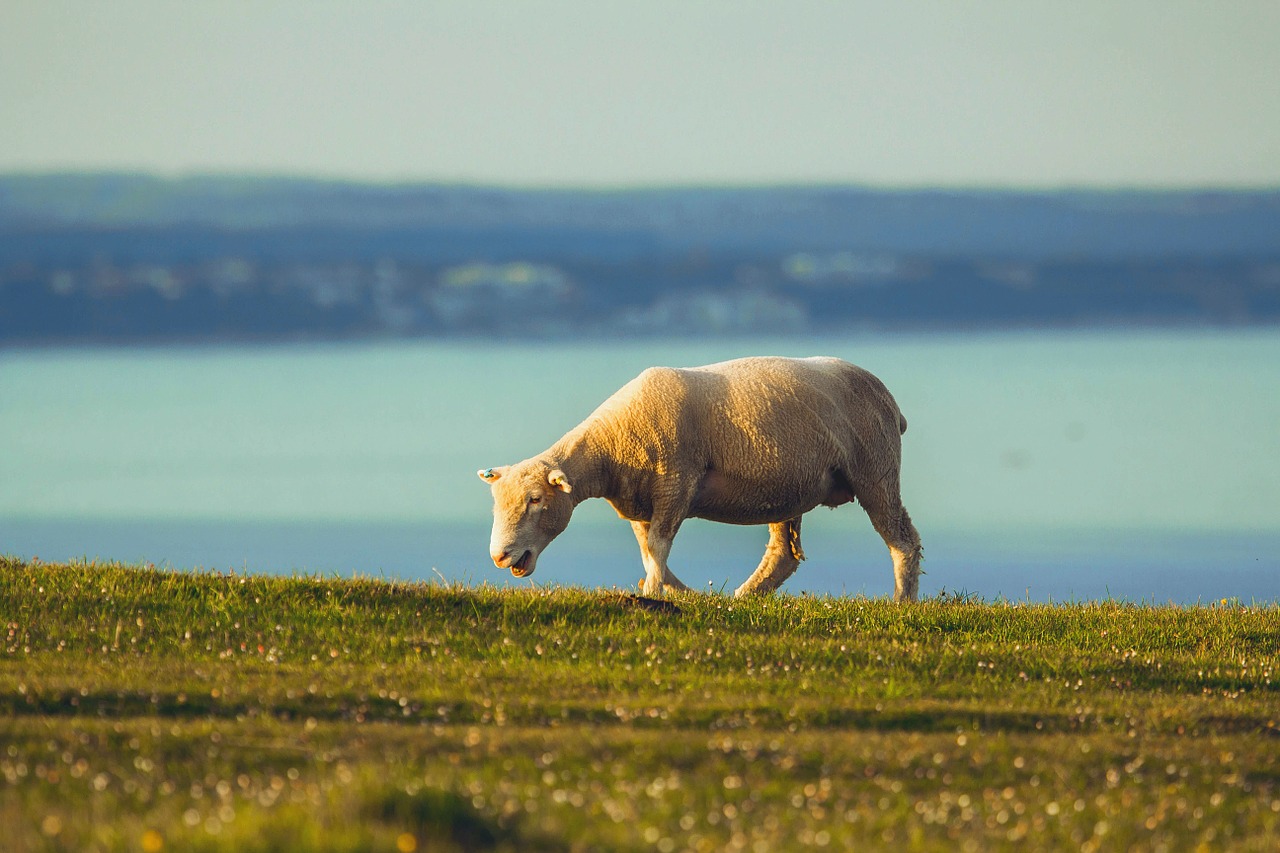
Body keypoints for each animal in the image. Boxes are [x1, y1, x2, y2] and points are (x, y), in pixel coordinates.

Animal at [476, 350, 926, 596]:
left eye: (536, 500)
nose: (499, 556)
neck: (611, 445)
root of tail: (892, 403)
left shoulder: (677, 481)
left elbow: (658, 546)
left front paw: (654, 592)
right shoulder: (641, 500)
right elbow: (648, 551)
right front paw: (673, 590)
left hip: (876, 469)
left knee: (903, 541)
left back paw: (902, 601)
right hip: (790, 486)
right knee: (782, 556)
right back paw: (743, 597)